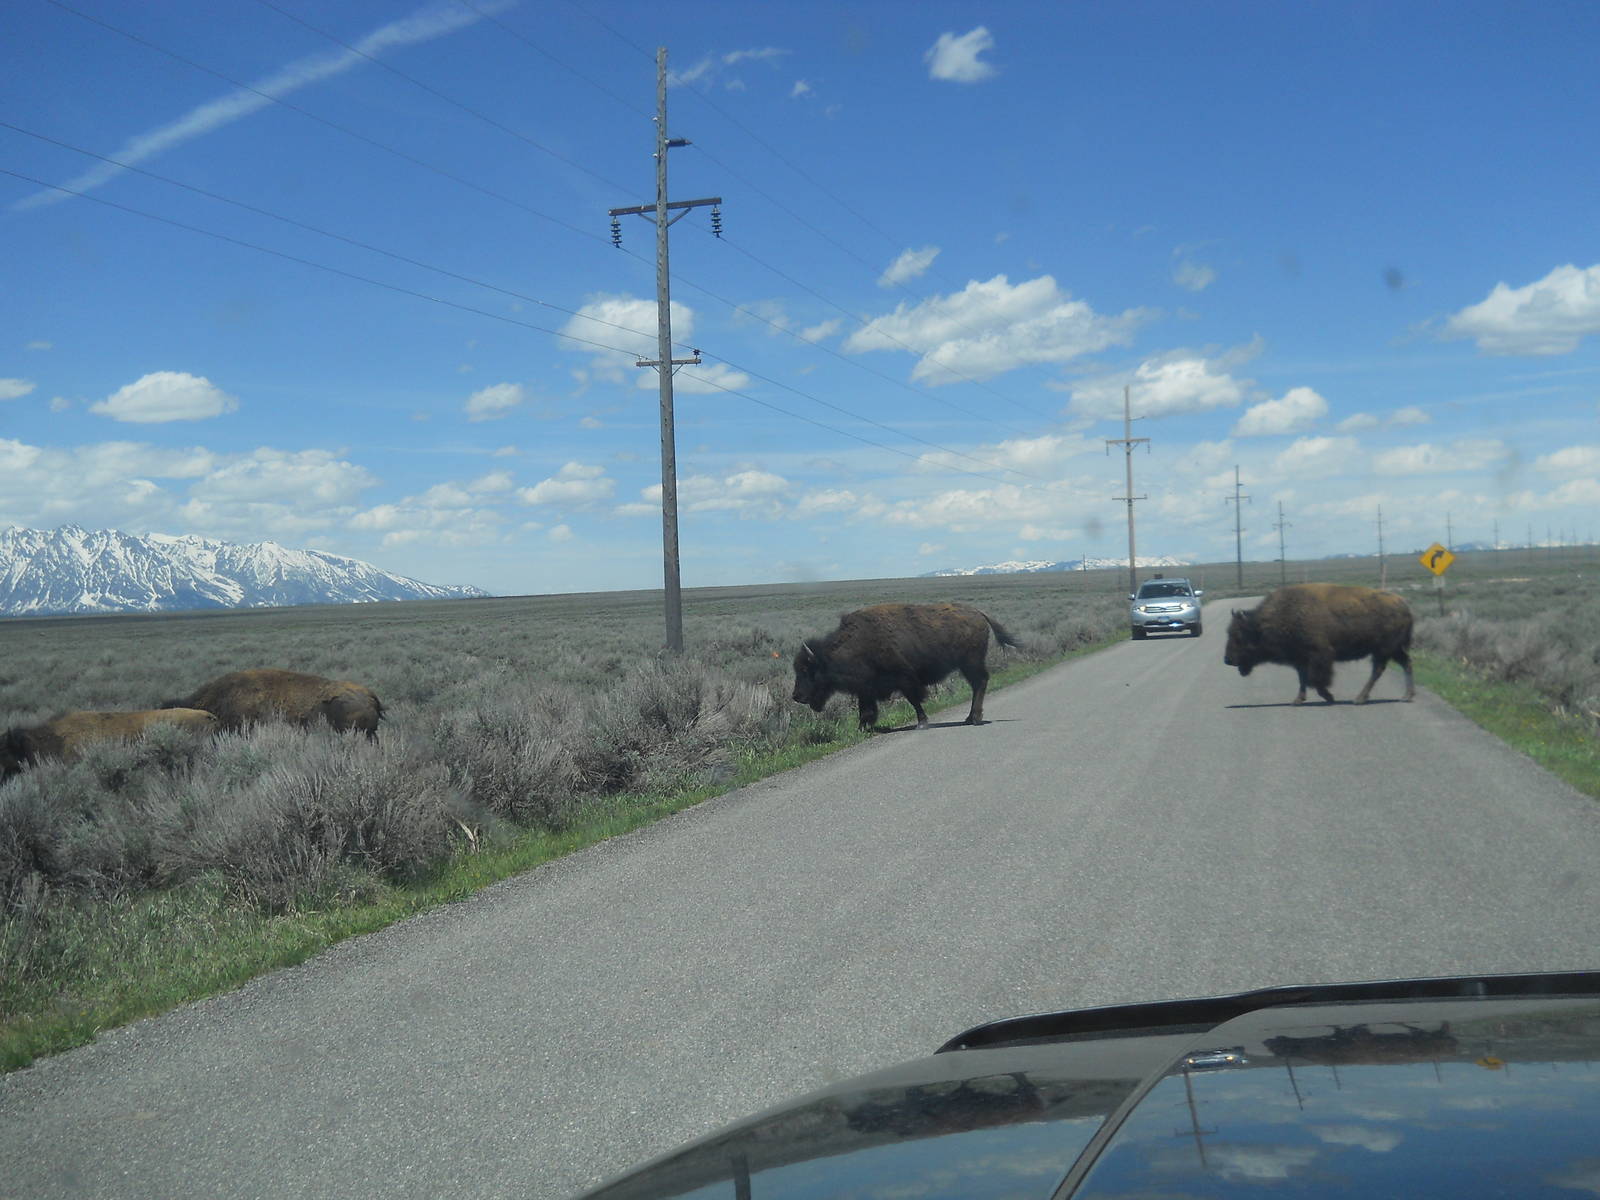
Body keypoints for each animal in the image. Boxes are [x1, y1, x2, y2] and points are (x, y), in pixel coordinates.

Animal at [791, 603, 1020, 730]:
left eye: (806, 670)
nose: (796, 696)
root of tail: (979, 613)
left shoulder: (905, 679)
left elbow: (914, 700)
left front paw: (922, 723)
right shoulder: (866, 688)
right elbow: (866, 710)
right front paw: (861, 728)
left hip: (970, 663)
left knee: (980, 683)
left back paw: (975, 718)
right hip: (967, 665)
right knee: (978, 684)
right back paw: (968, 718)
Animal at [1224, 583, 1415, 705]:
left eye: (1238, 636)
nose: (1227, 660)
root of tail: (1404, 605)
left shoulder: (1319, 655)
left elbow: (1314, 679)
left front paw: (1329, 697)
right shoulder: (1300, 659)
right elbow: (1302, 678)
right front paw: (1298, 700)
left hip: (1383, 650)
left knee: (1378, 670)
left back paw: (1359, 699)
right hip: (1392, 650)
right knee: (1405, 663)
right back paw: (1406, 696)